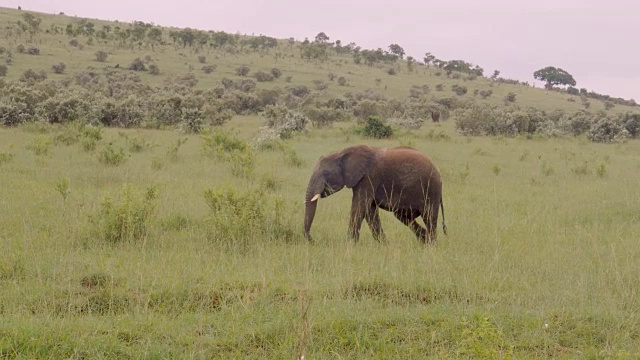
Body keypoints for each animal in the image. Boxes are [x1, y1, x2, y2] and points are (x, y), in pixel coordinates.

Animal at [304, 145, 444, 243]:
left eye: (325, 174)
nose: (313, 241)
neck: (342, 153)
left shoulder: (368, 178)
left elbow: (359, 207)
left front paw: (349, 245)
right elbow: (369, 211)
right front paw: (384, 245)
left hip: (431, 189)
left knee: (429, 217)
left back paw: (431, 245)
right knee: (403, 217)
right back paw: (424, 241)